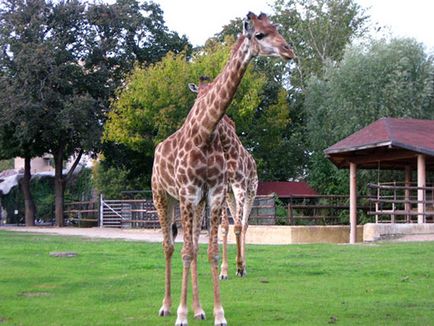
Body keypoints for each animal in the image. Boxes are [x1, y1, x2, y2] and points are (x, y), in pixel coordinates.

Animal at [189, 75, 258, 278]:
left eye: (209, 92)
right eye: (197, 93)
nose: (199, 108)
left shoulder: (239, 186)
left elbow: (238, 226)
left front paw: (240, 267)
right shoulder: (224, 190)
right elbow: (225, 228)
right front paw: (224, 270)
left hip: (251, 191)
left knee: (244, 225)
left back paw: (244, 266)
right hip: (232, 197)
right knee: (236, 222)